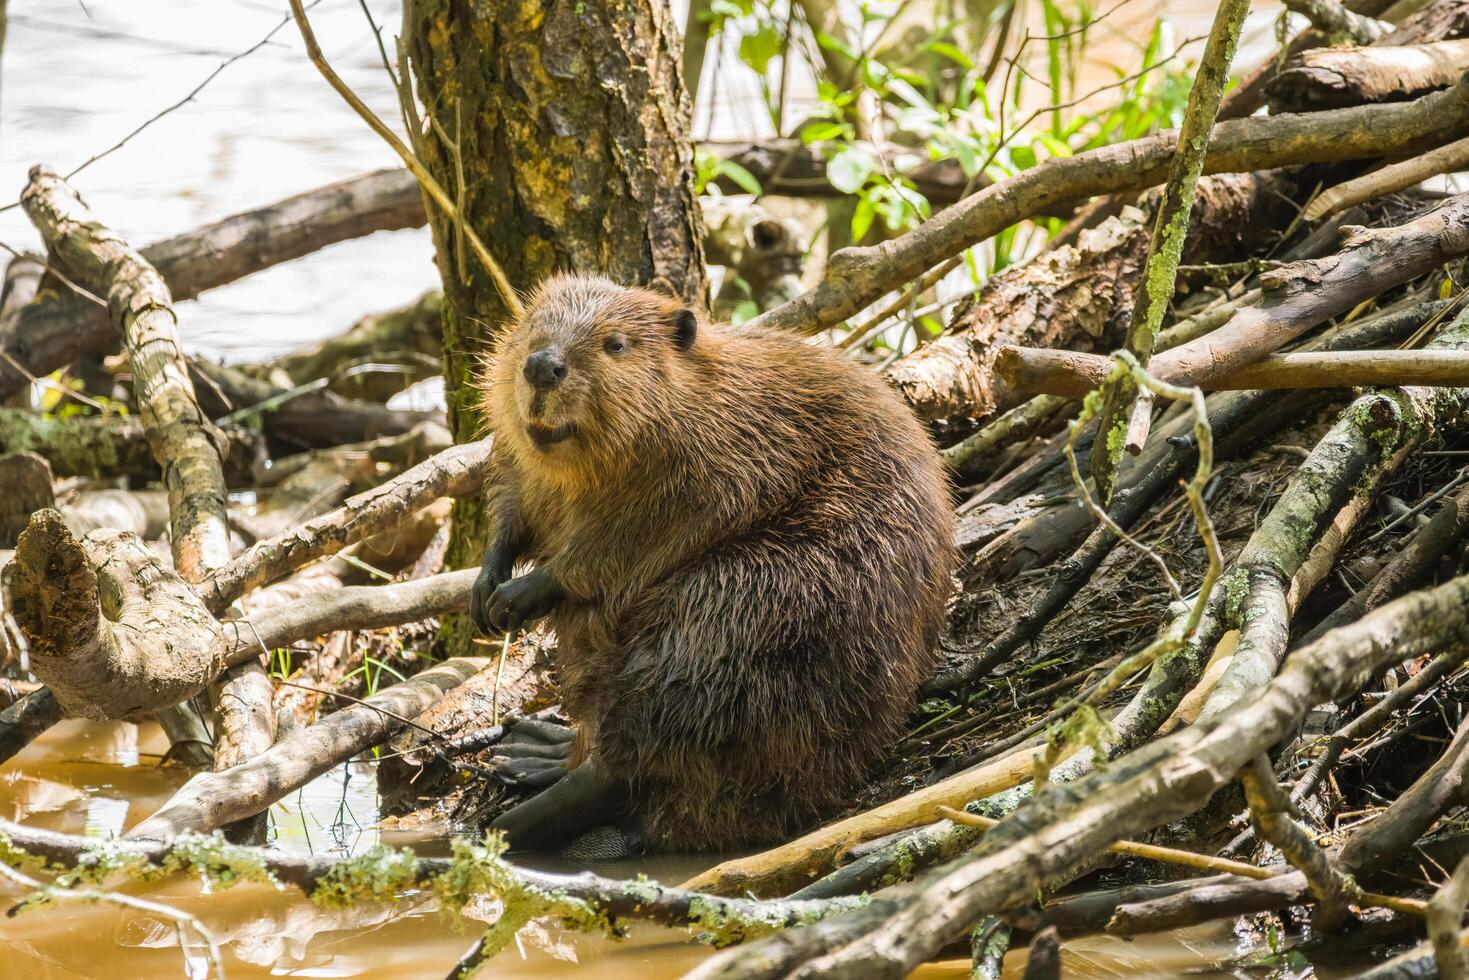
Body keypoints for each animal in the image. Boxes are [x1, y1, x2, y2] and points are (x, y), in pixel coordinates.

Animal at [467, 271, 951, 852]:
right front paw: (485, 589)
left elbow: (622, 544)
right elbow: (508, 496)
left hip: (753, 600)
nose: (542, 366)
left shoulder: (725, 463)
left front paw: (519, 594)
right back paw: (535, 752)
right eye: (533, 328)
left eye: (615, 345)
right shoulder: (521, 460)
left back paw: (510, 819)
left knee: (647, 738)